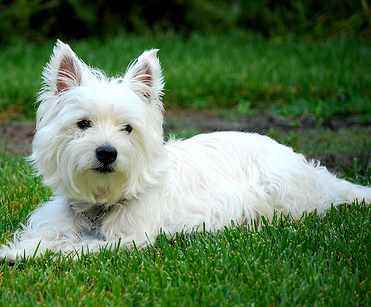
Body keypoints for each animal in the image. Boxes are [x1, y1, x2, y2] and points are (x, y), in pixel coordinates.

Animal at [0, 39, 370, 264]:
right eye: (83, 124)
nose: (107, 153)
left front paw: (44, 253)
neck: (101, 203)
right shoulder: (54, 221)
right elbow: (44, 238)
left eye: (127, 129)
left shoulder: (131, 239)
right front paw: (17, 251)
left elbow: (77, 247)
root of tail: (307, 166)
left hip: (280, 192)